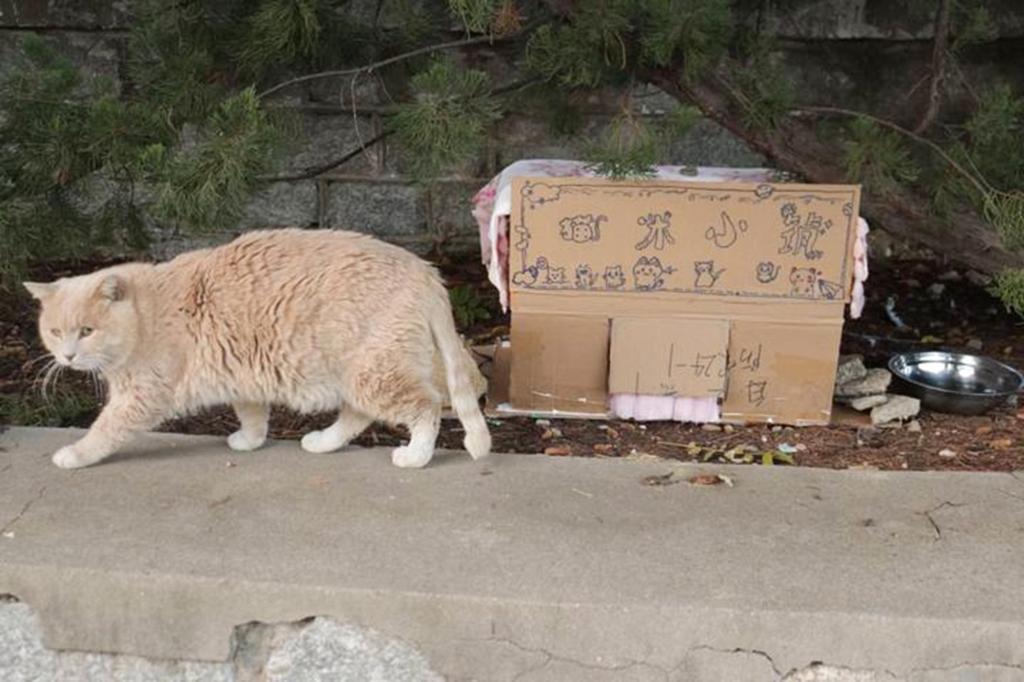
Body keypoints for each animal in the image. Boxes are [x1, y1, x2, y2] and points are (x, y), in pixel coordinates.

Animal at [24, 229, 491, 470]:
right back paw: (324, 443)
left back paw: (415, 455)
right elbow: (253, 416)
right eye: (55, 331)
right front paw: (249, 441)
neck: (145, 314)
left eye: (86, 330)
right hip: (360, 373)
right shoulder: (241, 376)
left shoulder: (141, 396)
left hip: (373, 372)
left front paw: (75, 454)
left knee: (425, 407)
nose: (66, 356)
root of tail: (427, 272)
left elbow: (105, 430)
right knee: (359, 414)